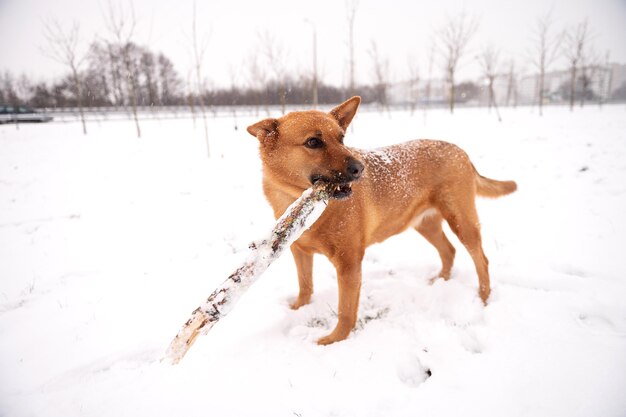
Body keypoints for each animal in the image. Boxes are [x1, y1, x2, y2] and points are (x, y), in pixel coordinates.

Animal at [246, 97, 516, 344]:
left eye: (342, 138)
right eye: (313, 142)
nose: (359, 168)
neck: (298, 201)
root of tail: (461, 152)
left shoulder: (349, 263)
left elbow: (345, 311)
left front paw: (335, 340)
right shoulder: (299, 251)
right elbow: (305, 287)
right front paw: (297, 310)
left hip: (461, 221)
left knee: (481, 259)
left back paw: (483, 298)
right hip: (425, 224)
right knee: (449, 251)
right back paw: (440, 281)